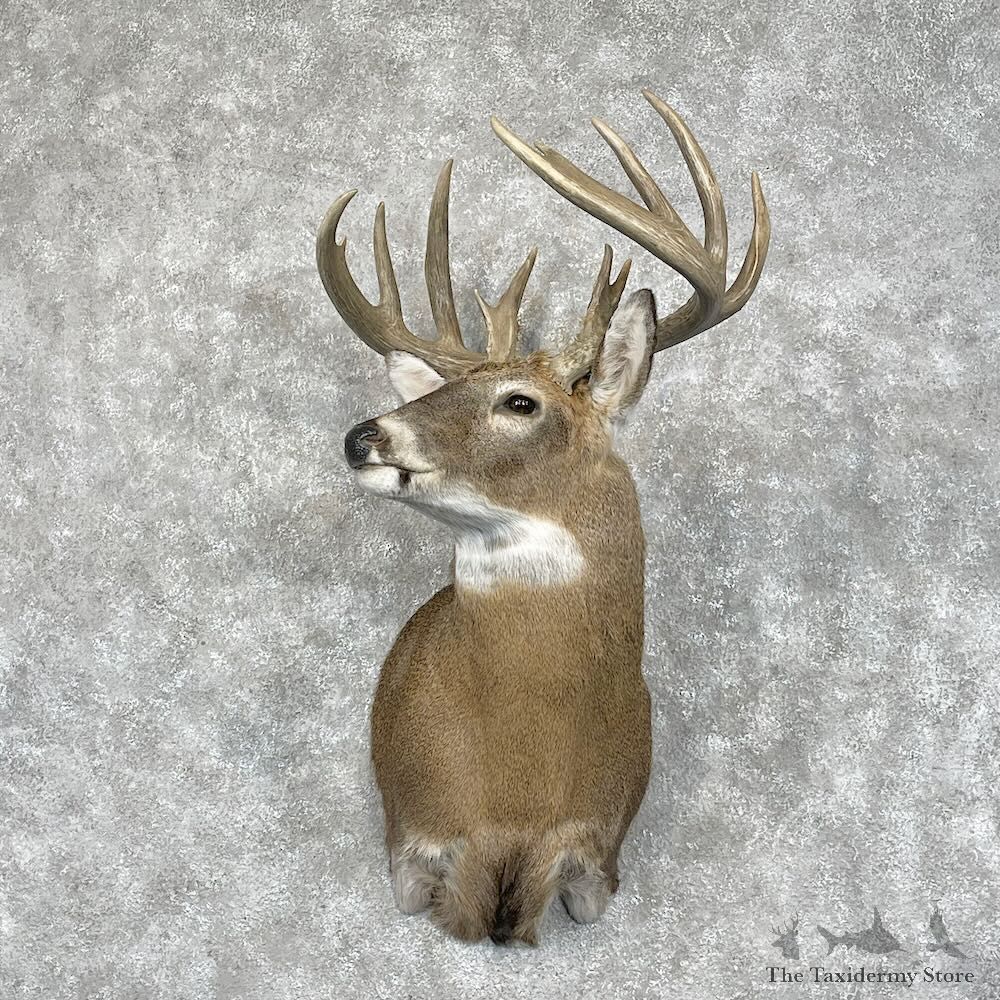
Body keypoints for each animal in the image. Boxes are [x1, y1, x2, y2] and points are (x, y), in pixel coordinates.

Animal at [316, 89, 770, 946]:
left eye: (520, 403)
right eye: (438, 389)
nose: (362, 436)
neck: (517, 791)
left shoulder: (596, 858)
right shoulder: (414, 840)